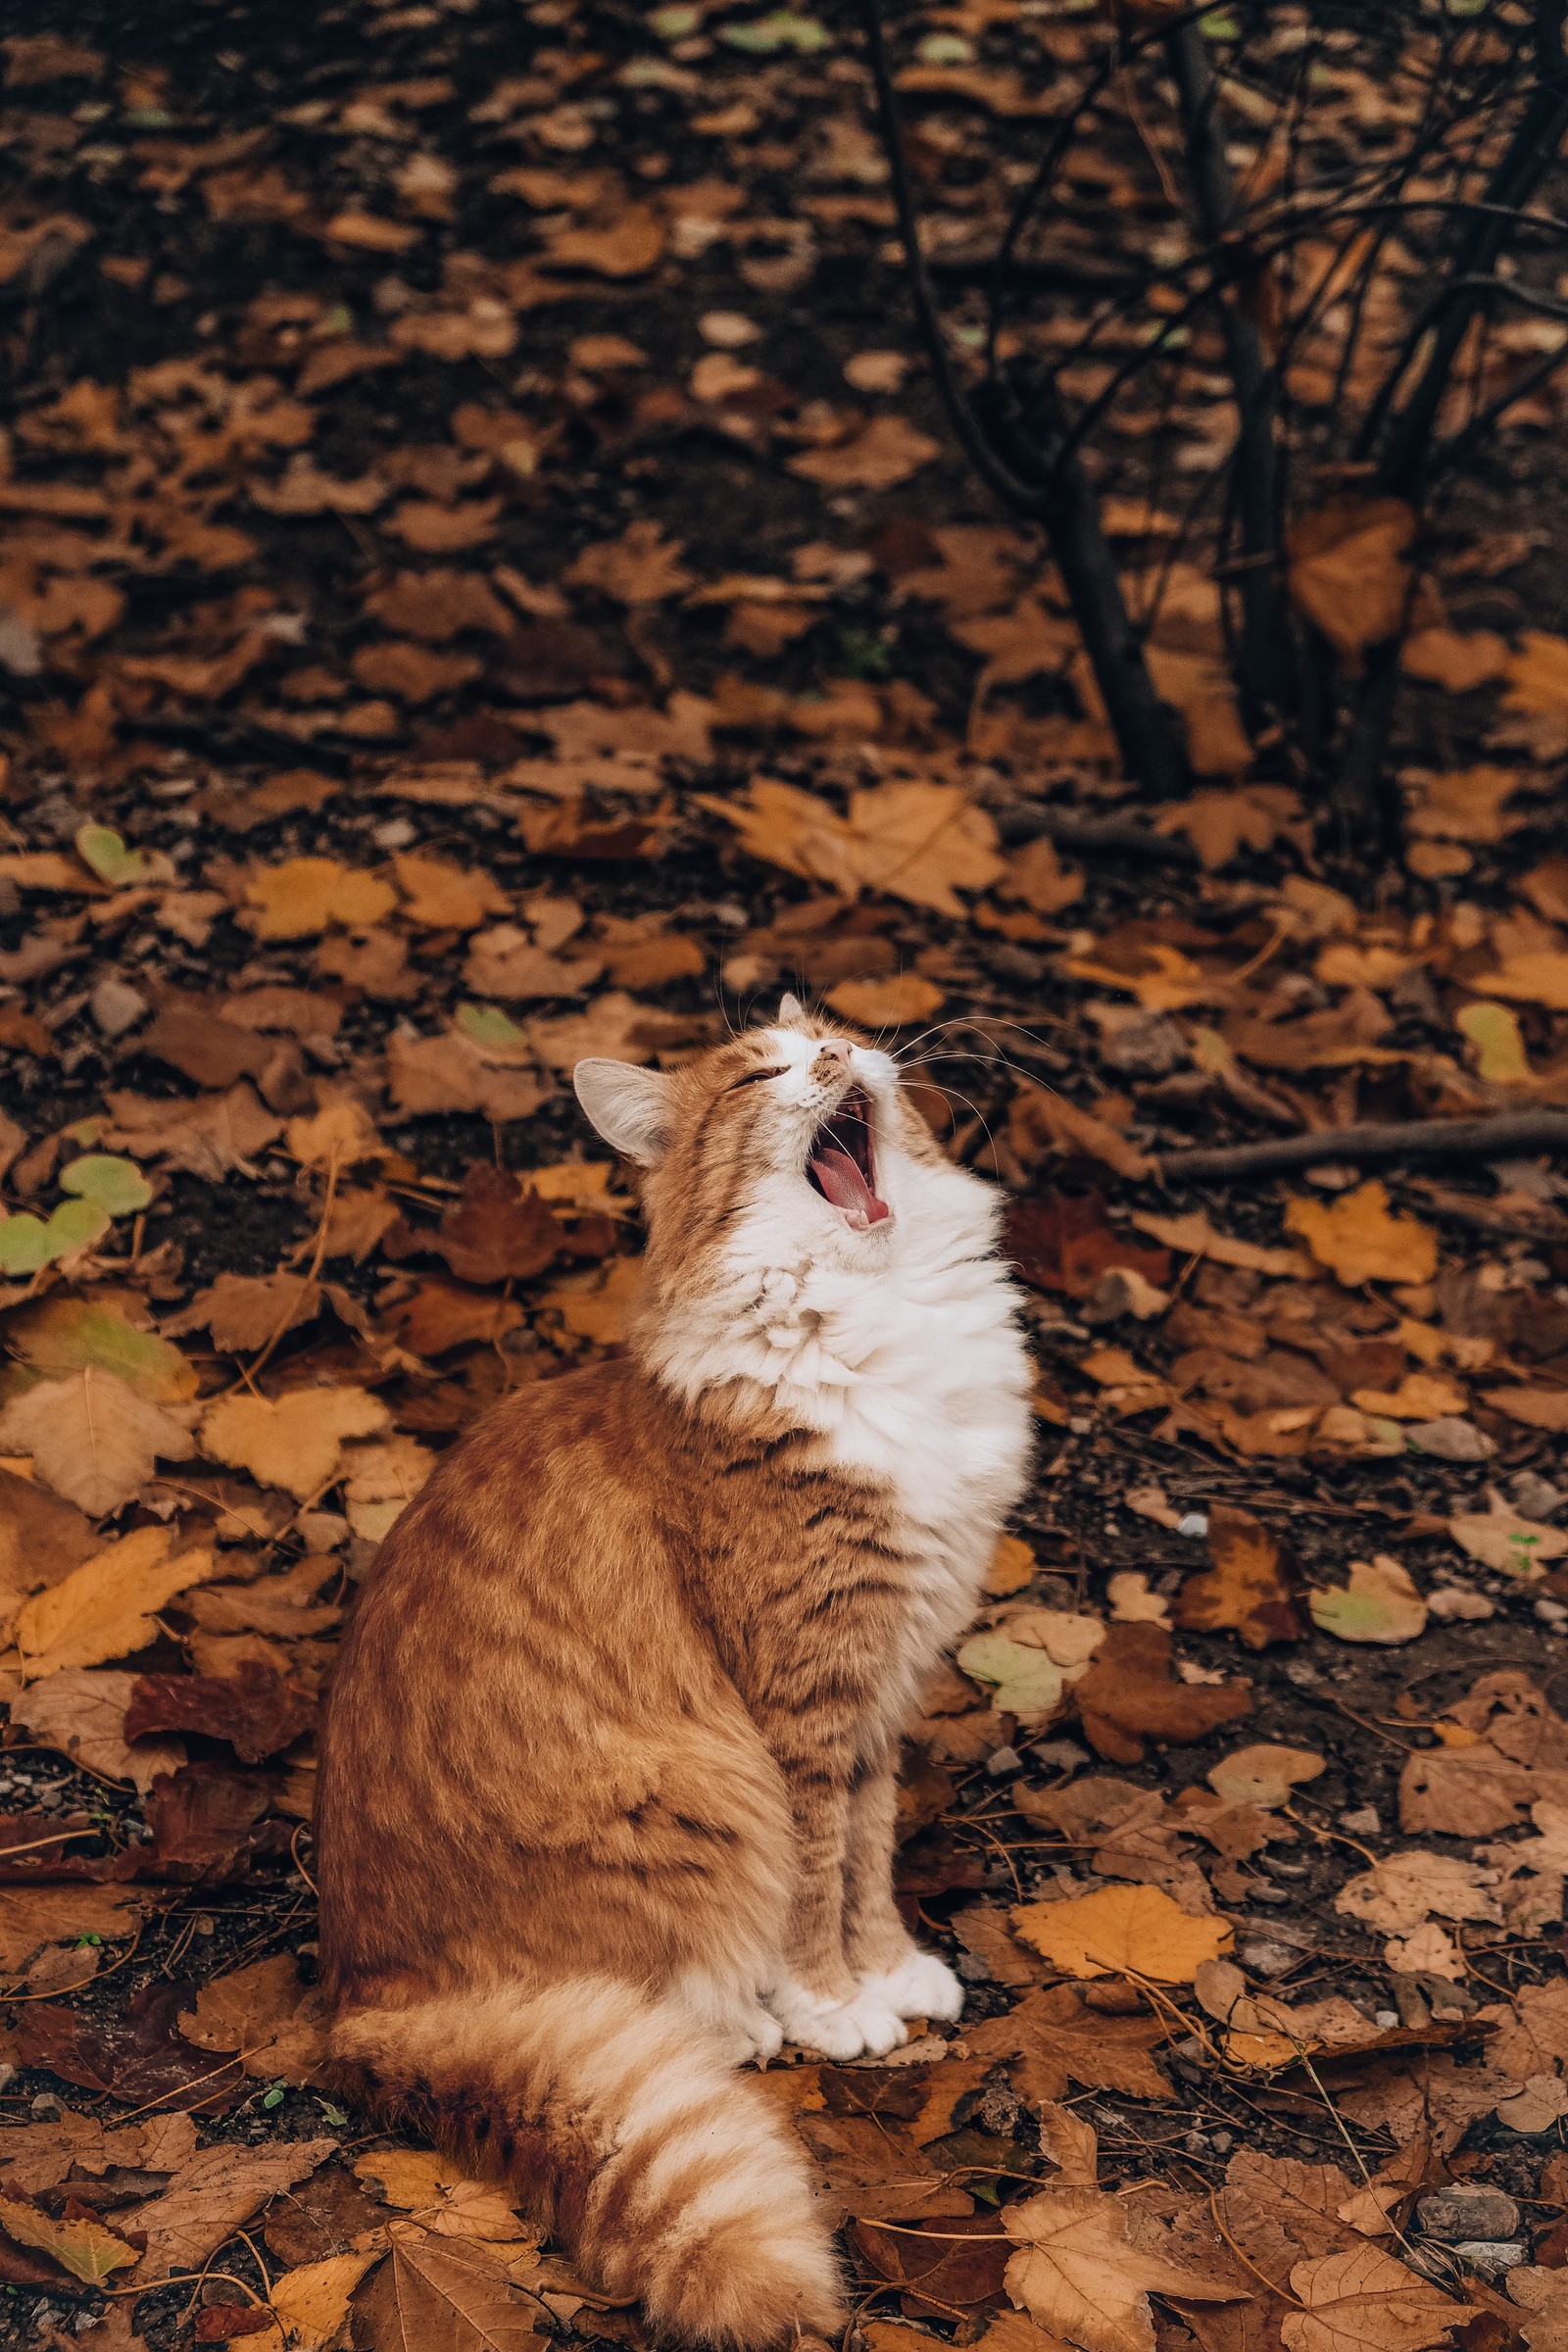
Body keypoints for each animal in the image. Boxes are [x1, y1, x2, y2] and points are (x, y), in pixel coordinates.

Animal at [315, 997, 1034, 2352]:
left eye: (838, 1033)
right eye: (759, 1076)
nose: (837, 1058)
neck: (878, 1317)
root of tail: (360, 2001)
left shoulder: (879, 1690)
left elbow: (867, 1856)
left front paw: (888, 1967)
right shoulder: (800, 1705)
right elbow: (813, 1879)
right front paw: (831, 2003)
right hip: (691, 1788)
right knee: (663, 1998)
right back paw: (746, 2020)